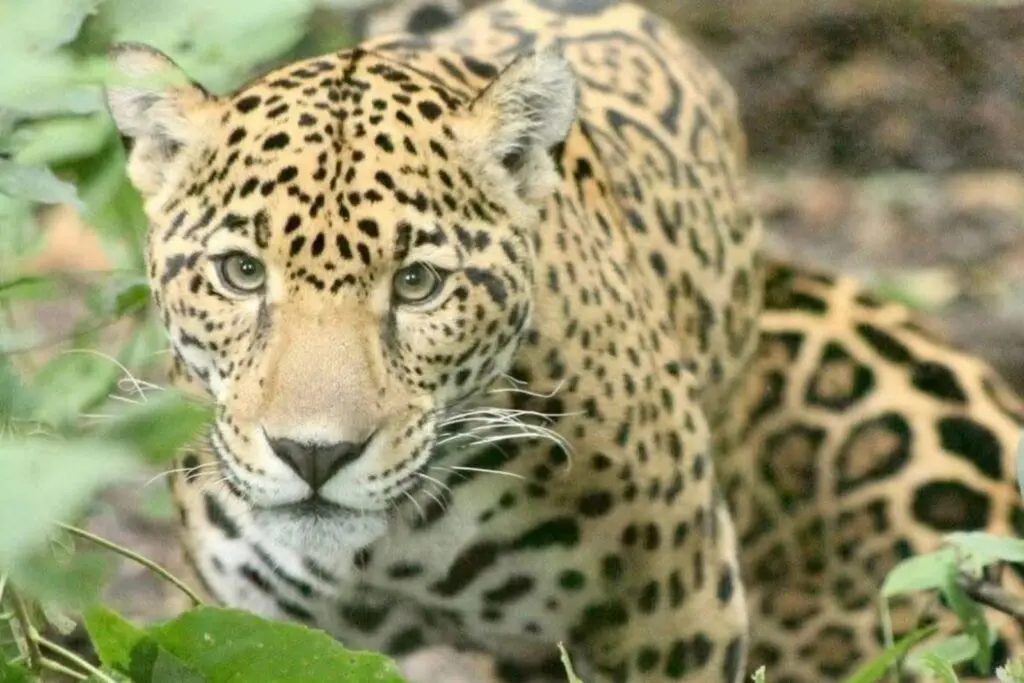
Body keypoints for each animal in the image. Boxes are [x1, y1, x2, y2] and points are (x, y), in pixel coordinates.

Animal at [103, 0, 1024, 681]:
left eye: (418, 282)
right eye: (240, 272)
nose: (315, 454)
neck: (400, 549)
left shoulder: (681, 619)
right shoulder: (255, 629)